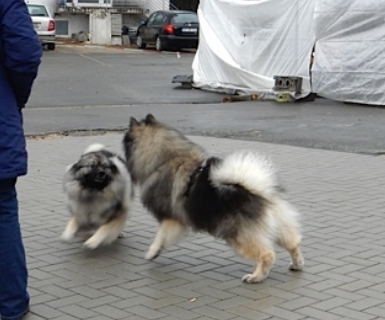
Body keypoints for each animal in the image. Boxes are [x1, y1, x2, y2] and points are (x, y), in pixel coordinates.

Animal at [123, 114, 304, 282]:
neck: (167, 159)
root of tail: (256, 190)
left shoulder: (171, 218)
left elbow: (161, 236)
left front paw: (152, 252)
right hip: (279, 226)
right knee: (293, 243)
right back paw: (297, 264)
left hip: (238, 236)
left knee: (267, 254)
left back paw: (256, 277)